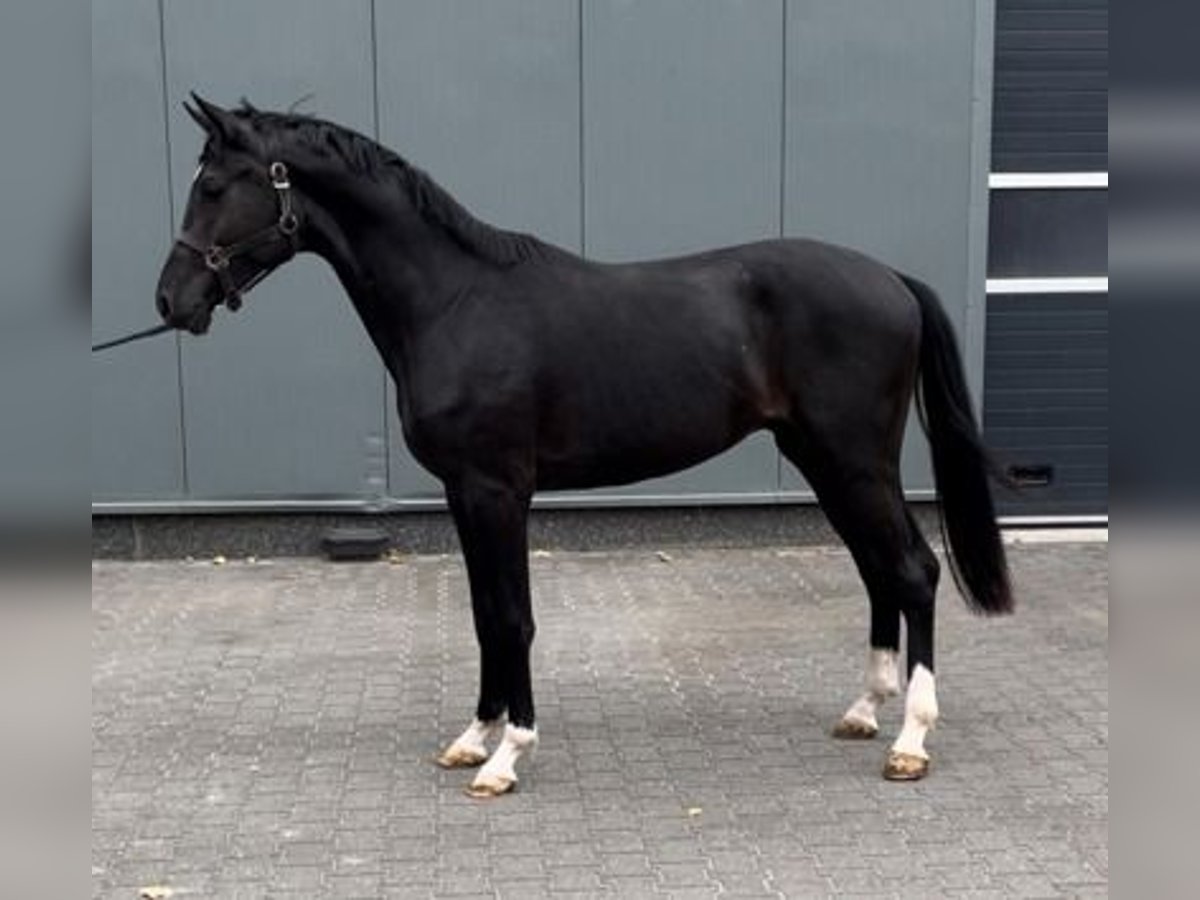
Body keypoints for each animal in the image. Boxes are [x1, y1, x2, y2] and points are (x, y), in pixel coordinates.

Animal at [154, 97, 1008, 796]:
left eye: (215, 186)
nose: (171, 299)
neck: (454, 301)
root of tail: (892, 279)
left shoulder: (498, 491)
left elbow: (512, 617)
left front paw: (508, 755)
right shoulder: (464, 493)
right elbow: (482, 614)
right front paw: (474, 736)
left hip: (855, 461)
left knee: (913, 571)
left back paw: (910, 741)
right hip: (825, 463)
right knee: (877, 570)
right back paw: (864, 710)